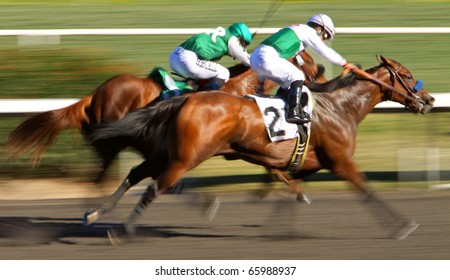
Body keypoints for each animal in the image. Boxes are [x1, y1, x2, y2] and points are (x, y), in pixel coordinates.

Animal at [86, 55, 434, 240]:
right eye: (407, 75)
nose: (428, 99)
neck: (340, 107)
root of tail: (184, 99)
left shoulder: (299, 164)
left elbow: (289, 191)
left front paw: (278, 229)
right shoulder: (341, 162)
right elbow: (366, 189)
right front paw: (403, 225)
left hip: (165, 153)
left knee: (135, 174)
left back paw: (95, 213)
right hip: (185, 158)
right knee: (154, 187)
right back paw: (124, 229)